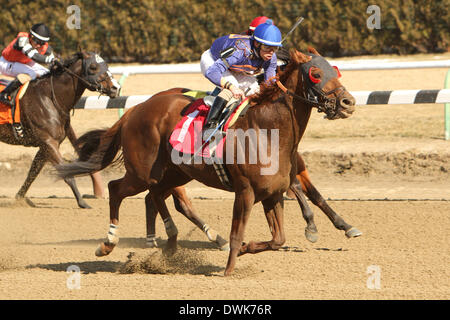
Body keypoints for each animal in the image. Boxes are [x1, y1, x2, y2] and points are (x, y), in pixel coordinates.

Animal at [0, 51, 118, 208]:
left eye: (106, 65)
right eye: (93, 67)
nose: (116, 88)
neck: (49, 98)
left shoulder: (46, 145)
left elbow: (33, 172)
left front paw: (20, 198)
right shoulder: (49, 143)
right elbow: (66, 173)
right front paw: (82, 202)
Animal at [58, 48, 356, 276]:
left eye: (335, 70)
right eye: (315, 73)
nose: (348, 102)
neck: (268, 132)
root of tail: (134, 110)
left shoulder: (273, 194)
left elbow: (278, 239)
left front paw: (248, 248)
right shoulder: (245, 191)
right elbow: (237, 234)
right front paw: (228, 269)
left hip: (174, 173)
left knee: (156, 196)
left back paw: (170, 242)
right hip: (142, 173)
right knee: (117, 189)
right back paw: (108, 243)